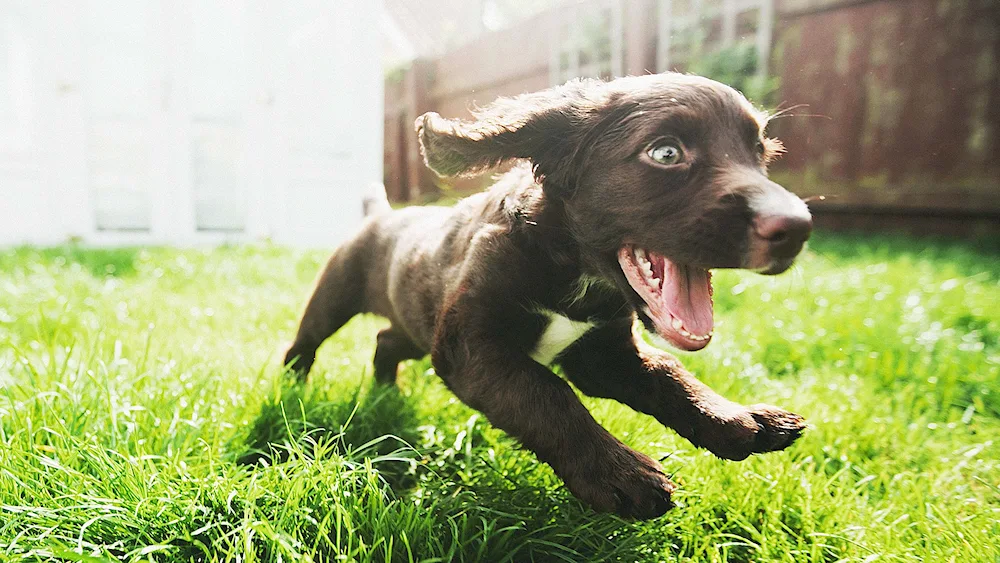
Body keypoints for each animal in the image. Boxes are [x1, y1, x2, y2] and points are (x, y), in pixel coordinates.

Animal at [282, 74, 812, 520]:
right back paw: (294, 391)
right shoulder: (471, 346)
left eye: (761, 155)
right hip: (336, 297)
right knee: (304, 343)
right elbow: (546, 393)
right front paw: (622, 474)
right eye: (665, 153)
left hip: (417, 325)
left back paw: (386, 392)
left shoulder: (604, 353)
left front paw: (736, 418)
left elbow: (670, 373)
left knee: (385, 340)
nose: (799, 227)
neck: (572, 273)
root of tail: (382, 214)